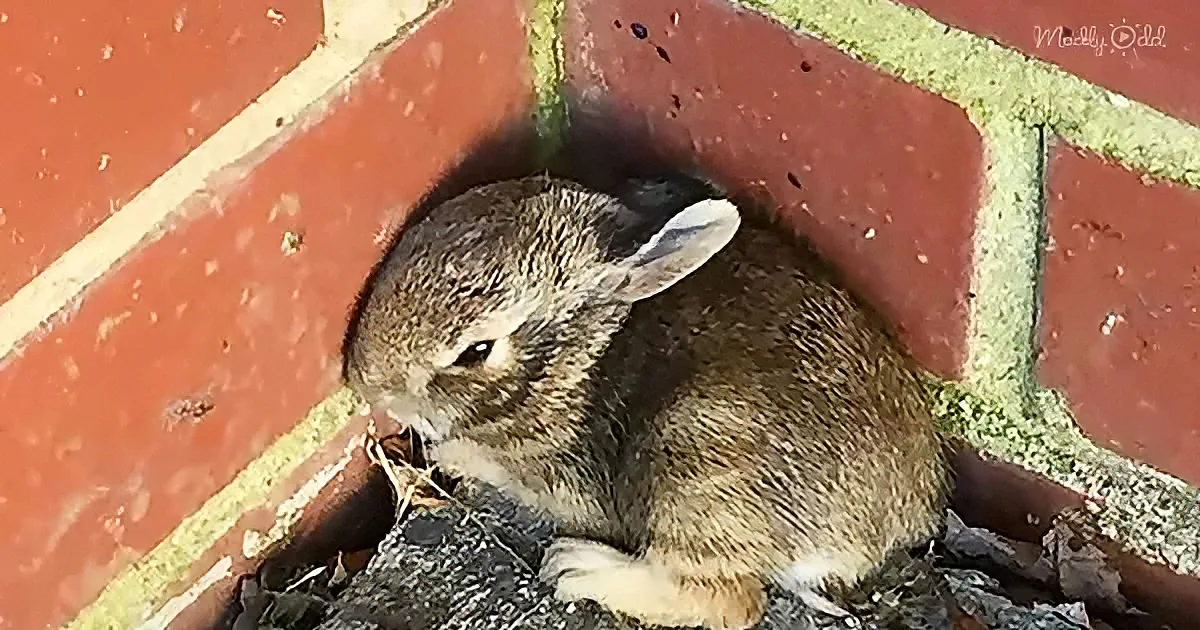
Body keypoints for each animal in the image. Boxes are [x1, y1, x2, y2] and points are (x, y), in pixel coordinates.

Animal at [344, 174, 950, 630]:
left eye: (477, 350)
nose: (364, 380)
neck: (583, 353)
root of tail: (887, 529)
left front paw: (449, 456)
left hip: (695, 457)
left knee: (731, 601)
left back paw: (578, 568)